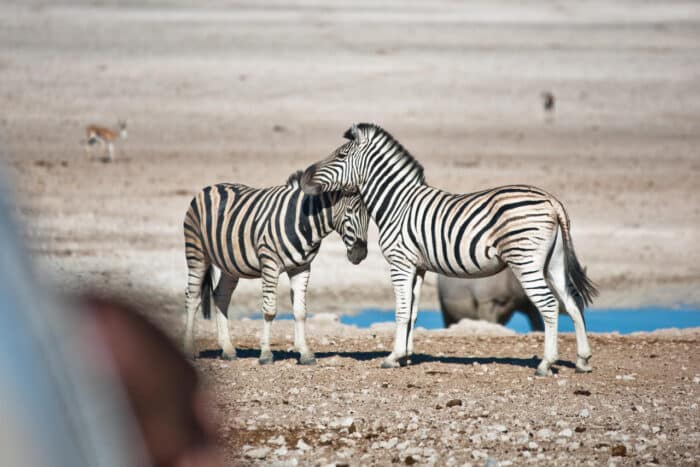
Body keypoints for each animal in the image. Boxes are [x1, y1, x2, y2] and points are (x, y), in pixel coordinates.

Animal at [182, 172, 372, 366]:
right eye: (350, 211)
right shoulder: (269, 263)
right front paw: (266, 354)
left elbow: (300, 312)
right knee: (192, 297)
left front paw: (305, 353)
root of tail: (210, 187)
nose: (360, 254)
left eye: (369, 216)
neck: (304, 222)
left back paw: (227, 349)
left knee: (221, 296)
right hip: (196, 252)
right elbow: (270, 310)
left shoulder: (301, 268)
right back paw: (189, 349)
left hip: (230, 264)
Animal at [300, 123, 596, 376]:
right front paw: (406, 356)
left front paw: (393, 357)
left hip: (526, 261)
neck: (397, 204)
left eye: (341, 154)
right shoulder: (418, 267)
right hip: (553, 262)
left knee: (549, 304)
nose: (304, 176)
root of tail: (551, 199)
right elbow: (412, 312)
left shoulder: (400, 262)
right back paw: (582, 360)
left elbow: (401, 310)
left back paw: (546, 364)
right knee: (573, 302)